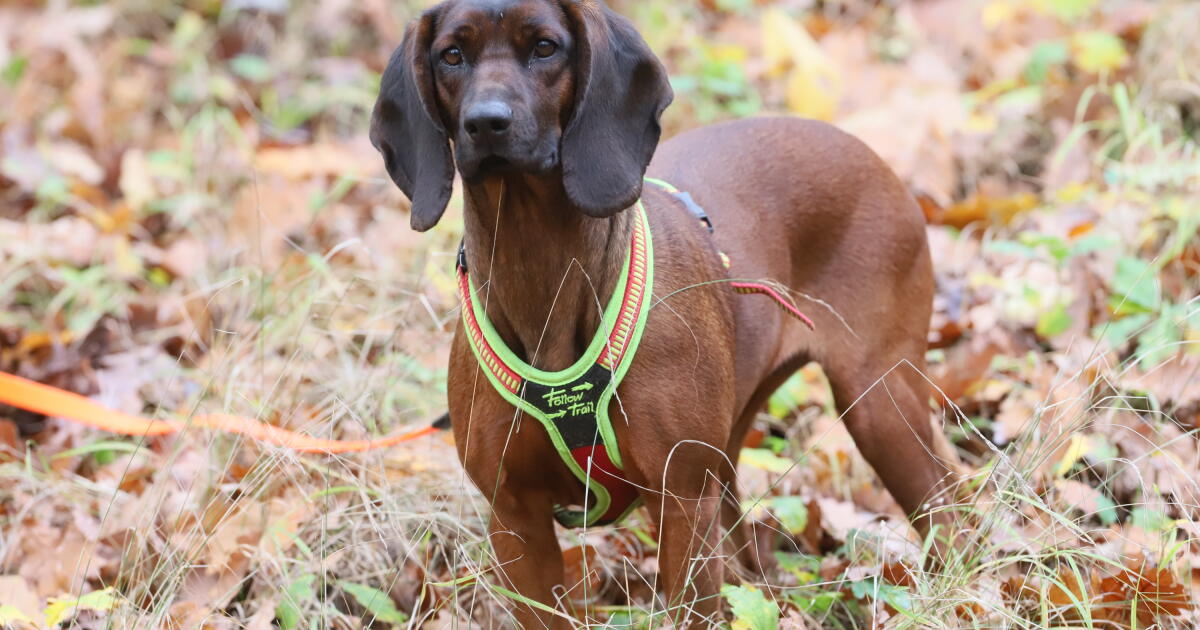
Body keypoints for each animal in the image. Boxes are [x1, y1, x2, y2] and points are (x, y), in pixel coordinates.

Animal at [369, 0, 960, 619]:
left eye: (546, 47)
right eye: (451, 55)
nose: (486, 122)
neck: (541, 270)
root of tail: (873, 156)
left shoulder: (681, 499)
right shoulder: (515, 519)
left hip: (878, 402)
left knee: (948, 505)